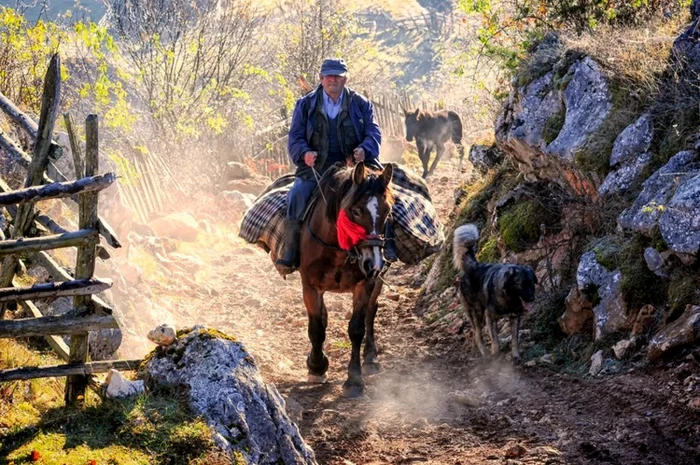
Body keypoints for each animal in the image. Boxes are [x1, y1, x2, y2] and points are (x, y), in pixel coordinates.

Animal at [298, 161, 392, 396]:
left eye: (387, 211)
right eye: (355, 211)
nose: (374, 262)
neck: (338, 250)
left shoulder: (364, 284)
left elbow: (357, 329)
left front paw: (354, 379)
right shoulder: (310, 286)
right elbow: (317, 329)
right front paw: (317, 366)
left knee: (371, 311)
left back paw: (370, 358)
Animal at [454, 224, 536, 362]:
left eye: (531, 282)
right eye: (520, 284)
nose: (531, 298)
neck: (509, 297)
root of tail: (473, 266)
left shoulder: (515, 317)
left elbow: (515, 340)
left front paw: (516, 356)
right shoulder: (490, 317)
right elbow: (495, 342)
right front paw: (495, 356)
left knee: (475, 333)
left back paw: (476, 351)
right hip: (478, 312)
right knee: (478, 334)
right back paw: (484, 353)